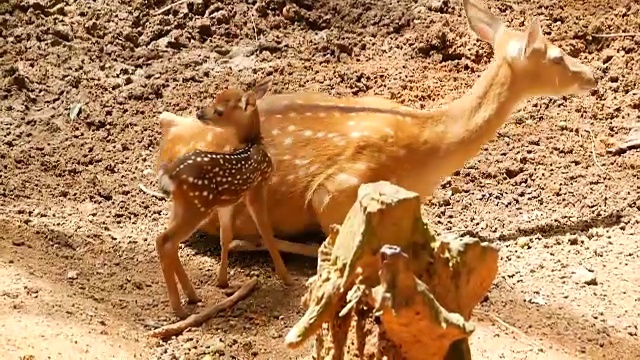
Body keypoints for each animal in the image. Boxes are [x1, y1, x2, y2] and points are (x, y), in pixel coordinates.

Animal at [155, 78, 292, 318]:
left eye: (219, 110)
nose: (199, 113)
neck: (253, 144)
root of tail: (170, 175)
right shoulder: (256, 187)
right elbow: (266, 231)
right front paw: (286, 277)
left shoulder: (226, 203)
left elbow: (225, 235)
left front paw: (222, 281)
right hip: (196, 206)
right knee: (165, 241)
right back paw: (179, 309)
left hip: (181, 206)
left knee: (169, 242)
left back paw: (192, 295)